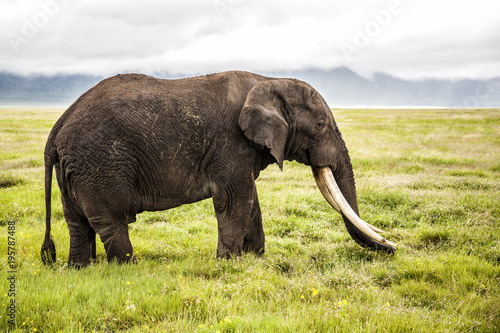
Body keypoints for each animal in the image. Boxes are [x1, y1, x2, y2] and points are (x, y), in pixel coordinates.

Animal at [41, 70, 396, 268]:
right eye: (320, 125)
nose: (393, 246)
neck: (267, 81)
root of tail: (57, 128)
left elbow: (250, 199)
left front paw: (255, 259)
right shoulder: (230, 142)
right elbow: (235, 199)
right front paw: (229, 263)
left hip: (75, 169)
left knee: (77, 222)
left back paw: (80, 270)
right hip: (100, 165)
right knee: (112, 221)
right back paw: (129, 269)